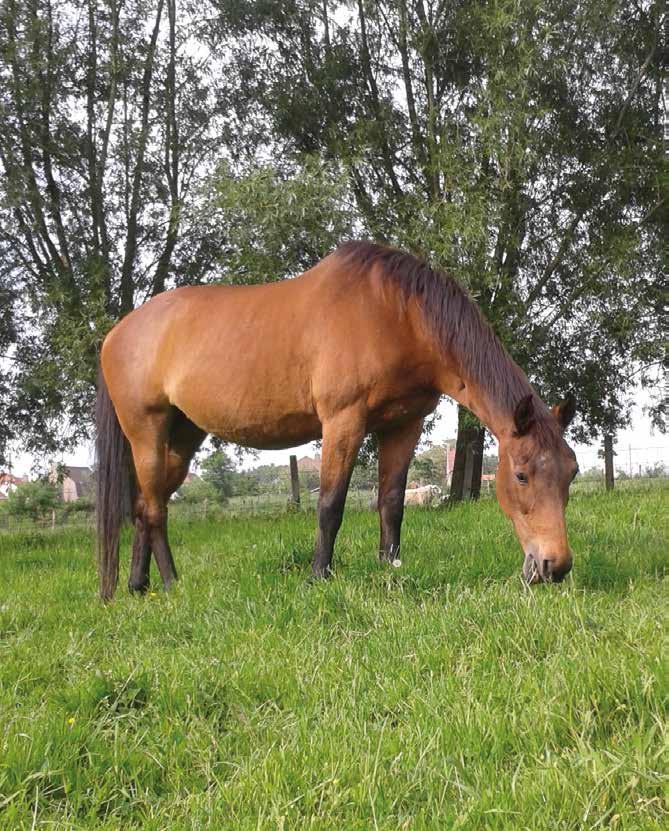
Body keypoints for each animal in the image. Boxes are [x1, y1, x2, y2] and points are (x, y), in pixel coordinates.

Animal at [95, 239, 580, 600]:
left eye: (571, 473)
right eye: (521, 475)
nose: (554, 566)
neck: (396, 313)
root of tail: (116, 333)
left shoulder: (403, 426)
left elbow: (391, 503)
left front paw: (389, 568)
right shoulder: (343, 423)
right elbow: (330, 505)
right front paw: (318, 576)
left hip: (182, 438)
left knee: (144, 507)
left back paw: (138, 586)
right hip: (147, 433)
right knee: (155, 510)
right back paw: (172, 584)